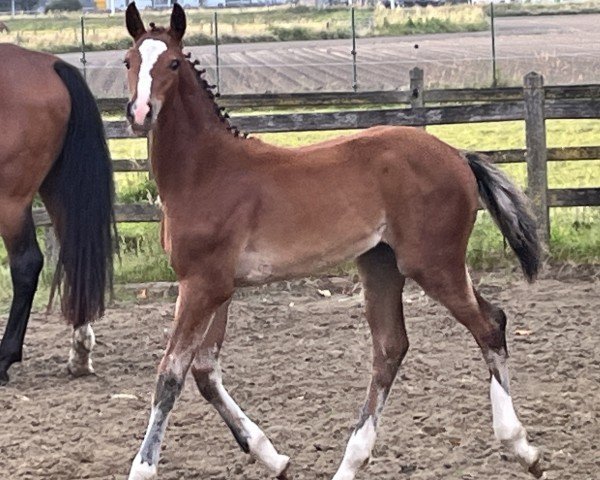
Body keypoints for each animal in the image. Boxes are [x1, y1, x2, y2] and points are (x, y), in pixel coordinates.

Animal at [0, 43, 115, 384]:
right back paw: (80, 355)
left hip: (10, 201)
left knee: (26, 264)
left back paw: (4, 359)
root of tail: (51, 66)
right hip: (55, 185)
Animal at [125, 4, 544, 480]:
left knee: (489, 325)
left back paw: (521, 446)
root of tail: (457, 155)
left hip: (433, 264)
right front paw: (273, 456)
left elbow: (171, 374)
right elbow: (204, 371)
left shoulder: (202, 285)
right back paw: (352, 460)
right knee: (392, 346)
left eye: (173, 63)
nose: (139, 112)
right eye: (129, 61)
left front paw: (143, 467)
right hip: (381, 263)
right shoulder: (215, 288)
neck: (205, 173)